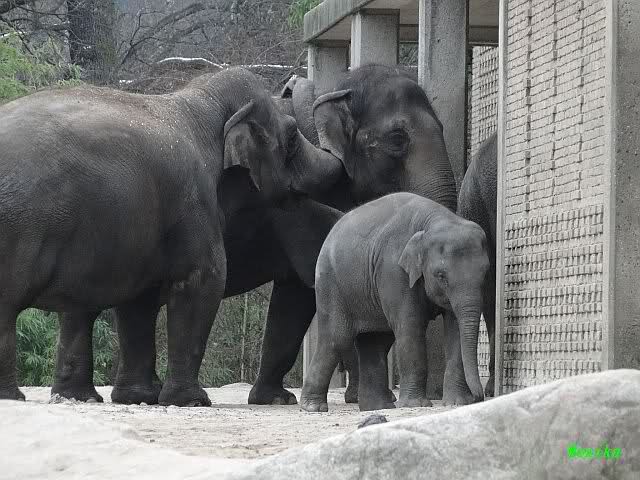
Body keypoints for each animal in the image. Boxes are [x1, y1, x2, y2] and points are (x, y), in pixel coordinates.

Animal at [0, 67, 344, 406]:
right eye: (291, 137)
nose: (292, 82)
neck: (199, 102)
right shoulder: (194, 200)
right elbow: (204, 281)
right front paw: (192, 401)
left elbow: (139, 299)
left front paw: (138, 398)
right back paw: (16, 396)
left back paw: (76, 398)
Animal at [301, 192, 489, 412]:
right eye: (440, 276)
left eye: (485, 272)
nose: (479, 397)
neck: (436, 220)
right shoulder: (393, 270)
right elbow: (410, 326)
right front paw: (416, 405)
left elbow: (455, 328)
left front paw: (458, 402)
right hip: (331, 284)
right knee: (337, 338)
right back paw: (313, 407)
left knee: (376, 341)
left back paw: (378, 407)